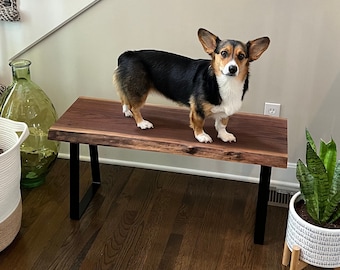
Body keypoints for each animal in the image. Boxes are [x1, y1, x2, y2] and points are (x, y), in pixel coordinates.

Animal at [113, 28, 270, 143]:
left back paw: (127, 112)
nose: (232, 69)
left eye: (241, 56)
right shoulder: (197, 109)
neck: (225, 84)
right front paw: (202, 136)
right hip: (139, 90)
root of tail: (129, 54)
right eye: (224, 53)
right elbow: (199, 123)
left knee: (125, 99)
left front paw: (224, 135)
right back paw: (142, 123)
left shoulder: (225, 112)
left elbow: (222, 124)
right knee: (135, 107)